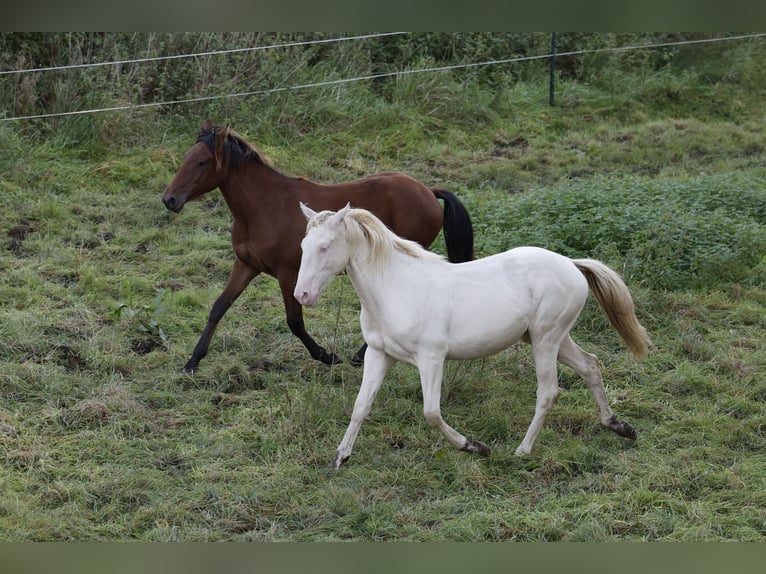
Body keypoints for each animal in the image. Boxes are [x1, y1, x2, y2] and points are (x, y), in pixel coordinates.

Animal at [161, 120, 474, 376]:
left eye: (202, 162)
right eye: (186, 158)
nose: (169, 199)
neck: (263, 208)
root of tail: (429, 191)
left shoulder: (288, 274)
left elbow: (294, 322)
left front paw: (327, 356)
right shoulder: (246, 265)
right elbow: (219, 307)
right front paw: (192, 362)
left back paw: (360, 355)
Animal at [294, 202, 648, 468]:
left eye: (324, 247)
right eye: (302, 245)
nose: (302, 295)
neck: (396, 289)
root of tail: (572, 265)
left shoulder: (431, 359)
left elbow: (431, 413)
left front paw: (475, 446)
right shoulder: (380, 355)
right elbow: (360, 406)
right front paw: (340, 457)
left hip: (546, 340)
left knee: (548, 392)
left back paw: (522, 450)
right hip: (550, 338)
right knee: (590, 365)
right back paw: (619, 426)